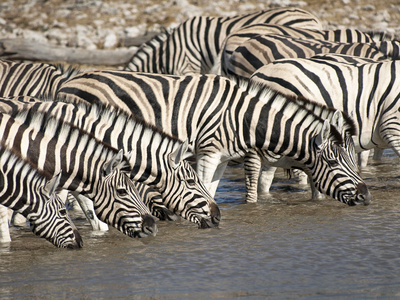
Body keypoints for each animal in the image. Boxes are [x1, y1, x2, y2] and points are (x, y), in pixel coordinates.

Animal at [54, 71, 370, 205]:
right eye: (334, 163)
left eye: (352, 159)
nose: (366, 197)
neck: (244, 118)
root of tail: (67, 83)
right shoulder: (210, 151)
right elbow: (213, 187)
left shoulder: (223, 158)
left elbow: (213, 189)